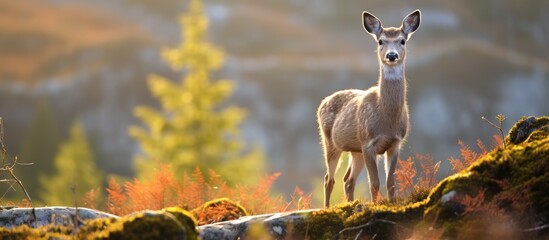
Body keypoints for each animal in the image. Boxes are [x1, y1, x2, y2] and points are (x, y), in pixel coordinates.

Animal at [316, 9, 420, 208]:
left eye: (402, 40)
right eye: (381, 41)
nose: (392, 55)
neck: (387, 119)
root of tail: (322, 103)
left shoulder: (395, 143)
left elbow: (390, 181)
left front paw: (391, 204)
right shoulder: (368, 142)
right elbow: (375, 182)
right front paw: (375, 205)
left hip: (355, 150)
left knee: (348, 180)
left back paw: (350, 204)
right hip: (331, 142)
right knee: (328, 178)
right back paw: (326, 208)